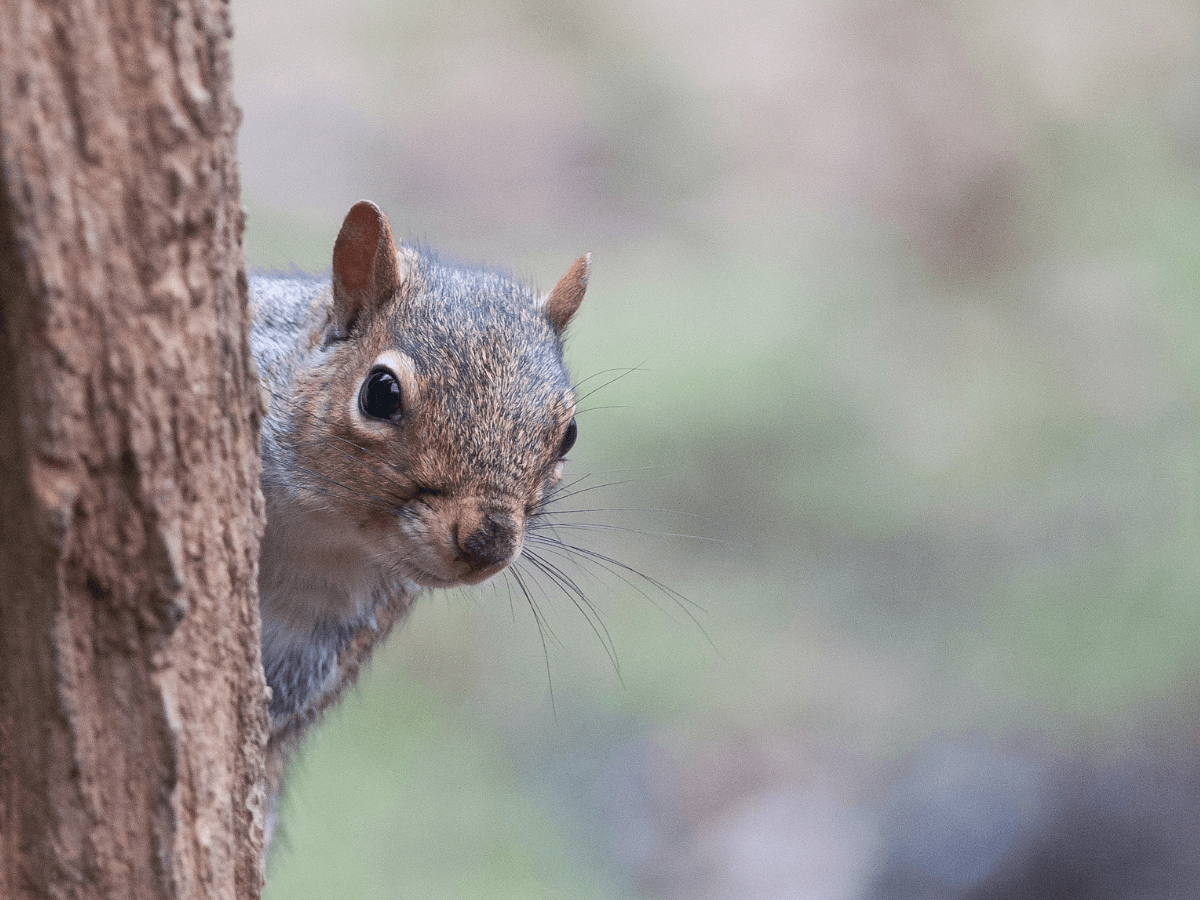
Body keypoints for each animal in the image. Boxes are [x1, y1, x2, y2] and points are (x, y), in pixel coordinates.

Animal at [248, 199, 589, 845]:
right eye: (380, 392)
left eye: (569, 435)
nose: (488, 541)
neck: (321, 525)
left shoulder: (328, 630)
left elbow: (280, 702)